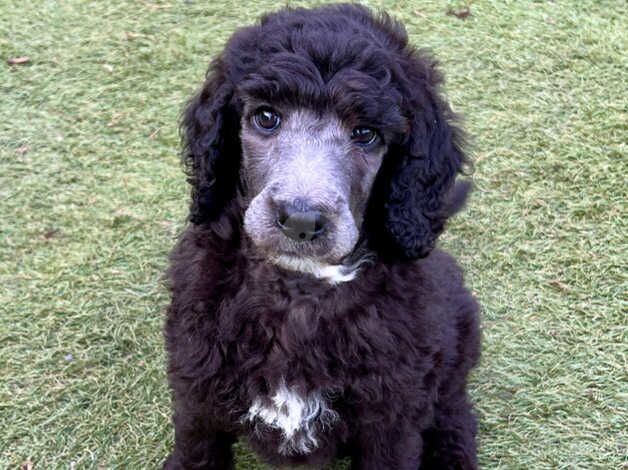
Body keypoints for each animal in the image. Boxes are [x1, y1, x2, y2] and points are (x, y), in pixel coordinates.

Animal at [163, 4, 480, 470]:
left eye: (366, 134)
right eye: (266, 118)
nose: (300, 220)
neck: (299, 287)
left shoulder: (392, 420)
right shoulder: (196, 398)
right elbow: (196, 452)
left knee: (453, 409)